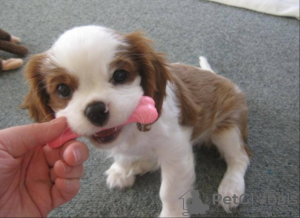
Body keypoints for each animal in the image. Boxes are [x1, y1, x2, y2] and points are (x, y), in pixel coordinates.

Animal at [21, 25, 251, 216]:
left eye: (120, 75)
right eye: (62, 89)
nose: (96, 110)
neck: (131, 131)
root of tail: (220, 78)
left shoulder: (176, 153)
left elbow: (169, 192)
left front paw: (172, 214)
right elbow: (123, 155)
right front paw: (122, 170)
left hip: (228, 128)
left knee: (240, 157)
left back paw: (231, 187)